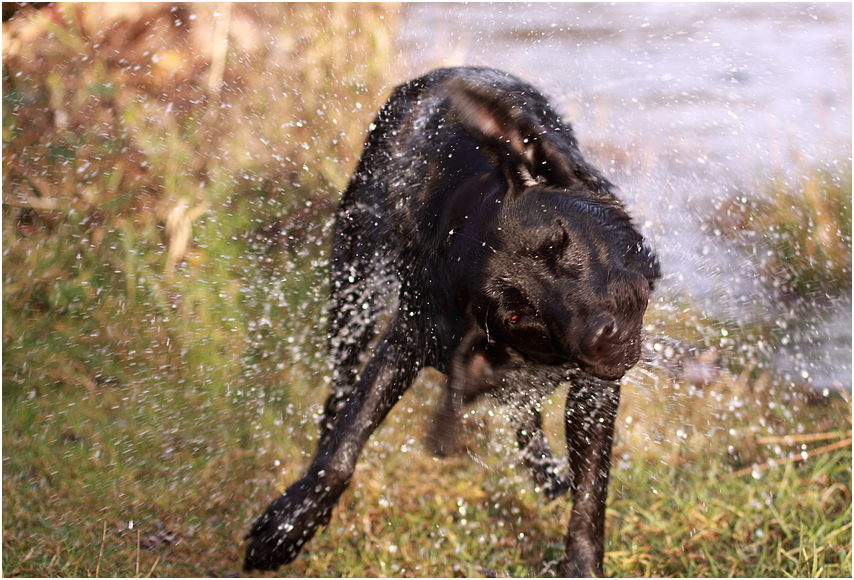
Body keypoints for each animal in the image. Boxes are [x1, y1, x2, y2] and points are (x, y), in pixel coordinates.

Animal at [247, 67, 664, 576]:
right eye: (516, 312)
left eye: (559, 243)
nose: (602, 336)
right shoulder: (407, 340)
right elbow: (347, 440)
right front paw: (292, 523)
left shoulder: (592, 391)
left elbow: (588, 495)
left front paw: (582, 563)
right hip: (354, 286)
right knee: (341, 388)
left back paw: (544, 471)